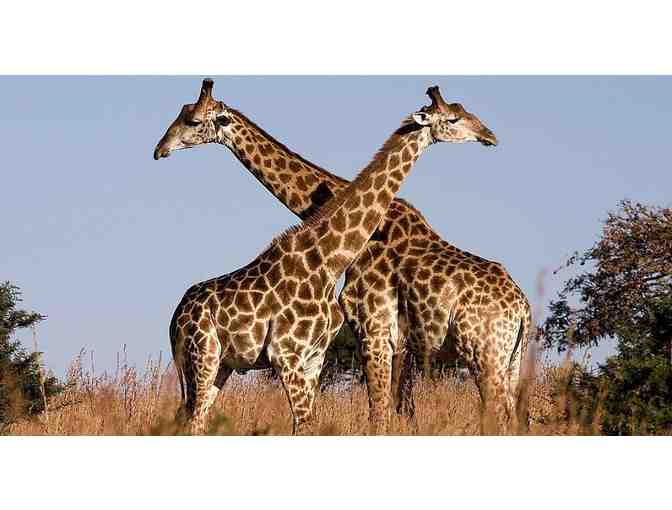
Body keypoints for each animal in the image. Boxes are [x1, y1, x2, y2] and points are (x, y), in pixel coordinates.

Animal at [155, 80, 530, 434]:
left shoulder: (366, 336)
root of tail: (524, 309)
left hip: (489, 356)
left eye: (191, 120)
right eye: (454, 117)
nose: (160, 149)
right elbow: (386, 416)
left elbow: (379, 416)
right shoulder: (374, 342)